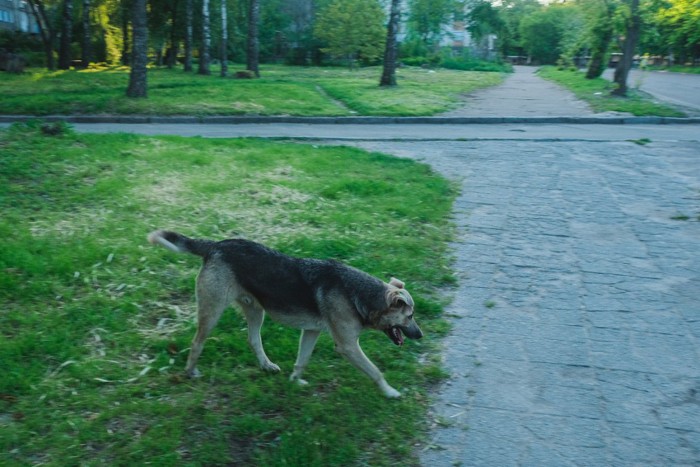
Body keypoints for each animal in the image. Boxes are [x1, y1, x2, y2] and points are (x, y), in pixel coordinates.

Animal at [148, 230, 424, 398]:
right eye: (410, 316)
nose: (421, 335)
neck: (359, 294)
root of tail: (215, 246)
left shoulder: (311, 331)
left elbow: (302, 360)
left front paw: (295, 381)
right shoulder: (347, 346)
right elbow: (375, 371)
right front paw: (390, 392)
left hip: (255, 311)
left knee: (253, 340)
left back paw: (267, 365)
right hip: (212, 310)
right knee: (196, 343)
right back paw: (190, 372)